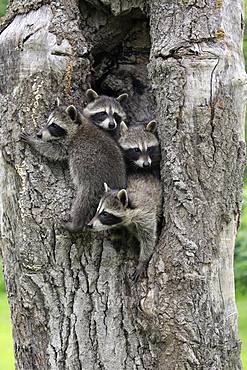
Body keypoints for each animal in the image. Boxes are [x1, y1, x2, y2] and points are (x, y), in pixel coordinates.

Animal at [19, 98, 126, 231]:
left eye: (54, 125)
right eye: (48, 122)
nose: (39, 134)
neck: (79, 127)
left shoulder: (69, 145)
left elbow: (53, 151)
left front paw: (34, 142)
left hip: (95, 183)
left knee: (84, 201)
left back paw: (75, 225)